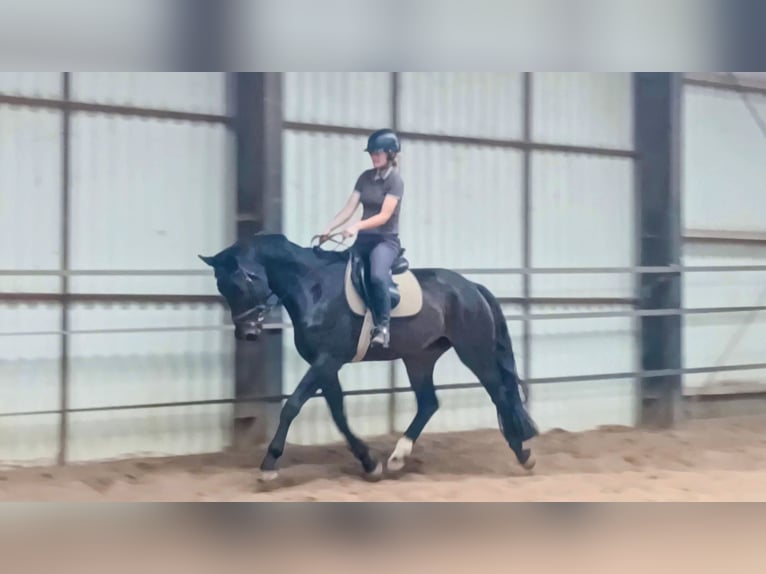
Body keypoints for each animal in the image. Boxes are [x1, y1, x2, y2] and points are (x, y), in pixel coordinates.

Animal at [199, 232, 539, 481]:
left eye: (248, 278)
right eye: (222, 286)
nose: (248, 333)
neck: (314, 287)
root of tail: (471, 287)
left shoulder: (327, 360)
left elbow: (292, 405)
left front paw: (269, 465)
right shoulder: (325, 365)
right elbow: (338, 414)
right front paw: (369, 463)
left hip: (473, 351)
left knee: (499, 394)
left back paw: (523, 455)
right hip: (419, 358)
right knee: (429, 403)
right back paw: (398, 458)